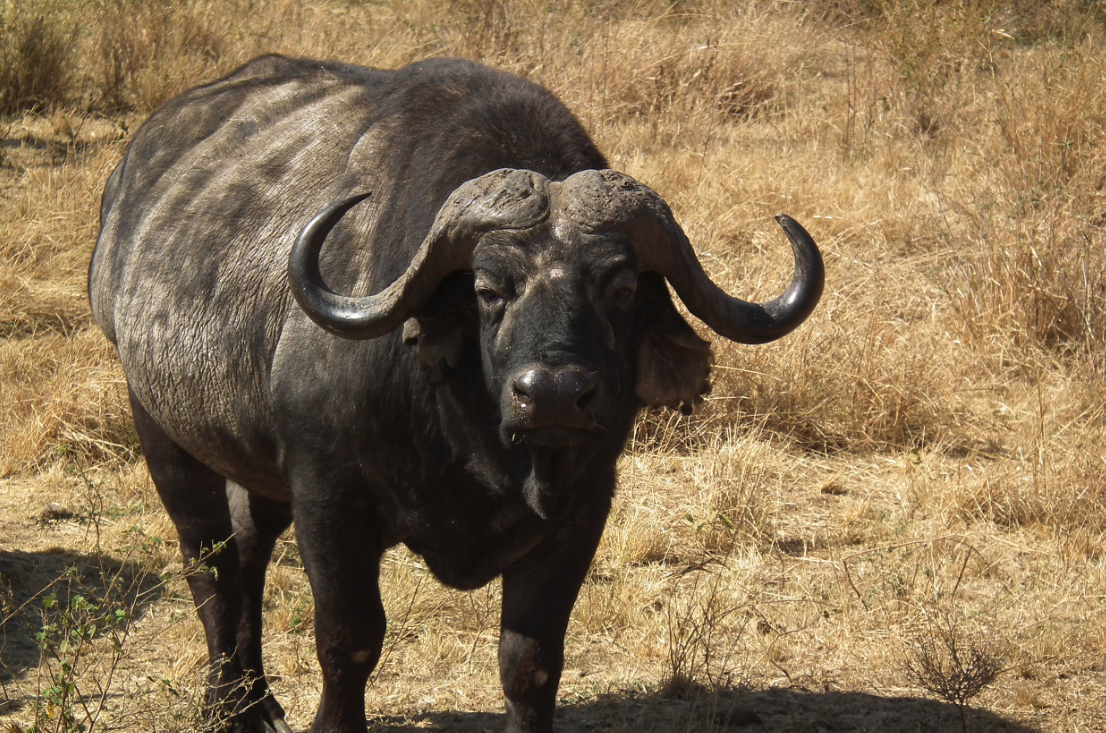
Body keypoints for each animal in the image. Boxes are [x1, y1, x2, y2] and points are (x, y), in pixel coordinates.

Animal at [88, 55, 822, 733]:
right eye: (488, 289)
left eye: (618, 288)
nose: (554, 395)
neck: (470, 435)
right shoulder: (329, 498)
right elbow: (348, 641)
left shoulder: (582, 508)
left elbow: (531, 661)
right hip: (161, 430)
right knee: (209, 565)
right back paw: (224, 705)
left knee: (247, 545)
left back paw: (257, 699)